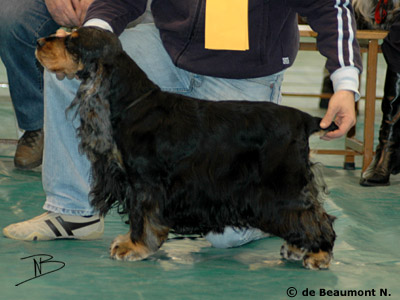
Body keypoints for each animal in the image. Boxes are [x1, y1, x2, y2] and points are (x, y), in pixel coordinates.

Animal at [36, 26, 338, 270]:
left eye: (72, 42)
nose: (39, 41)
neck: (131, 101)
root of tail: (303, 118)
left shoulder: (145, 181)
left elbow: (141, 216)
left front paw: (135, 247)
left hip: (282, 185)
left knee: (315, 217)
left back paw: (319, 254)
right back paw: (298, 247)